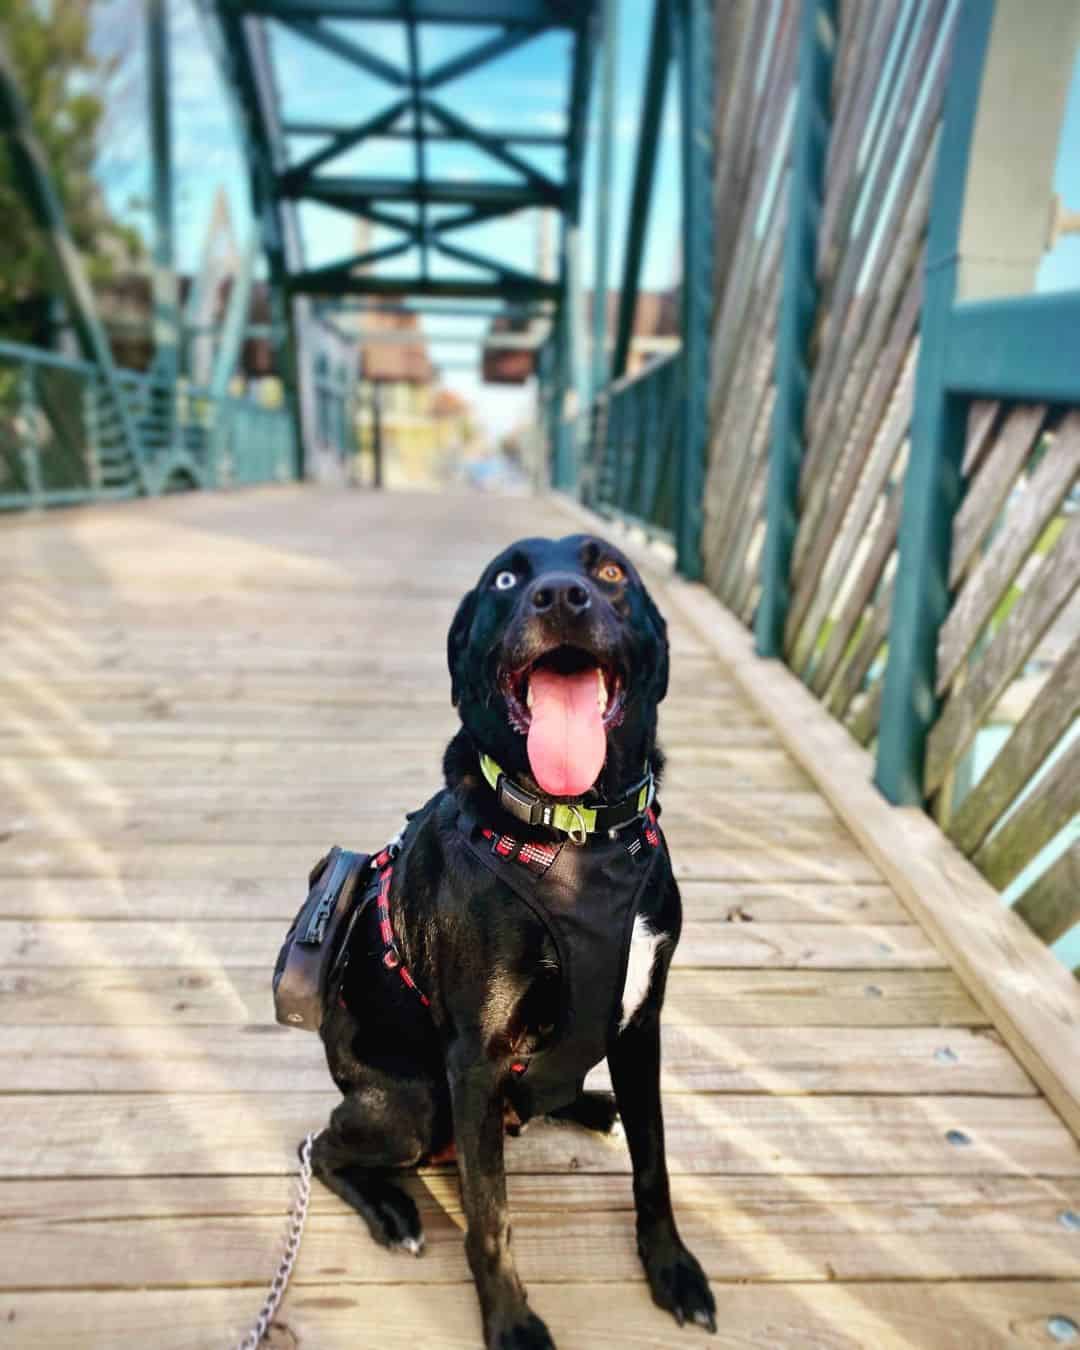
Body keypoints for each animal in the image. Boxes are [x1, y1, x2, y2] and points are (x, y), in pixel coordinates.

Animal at [311, 531, 718, 1344]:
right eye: (505, 578)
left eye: (611, 570)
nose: (560, 597)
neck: (576, 835)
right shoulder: (474, 1060)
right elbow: (490, 1219)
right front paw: (510, 1320)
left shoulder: (643, 1026)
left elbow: (654, 1165)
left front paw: (671, 1268)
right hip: (417, 1104)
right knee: (320, 1146)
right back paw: (393, 1212)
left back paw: (586, 1104)